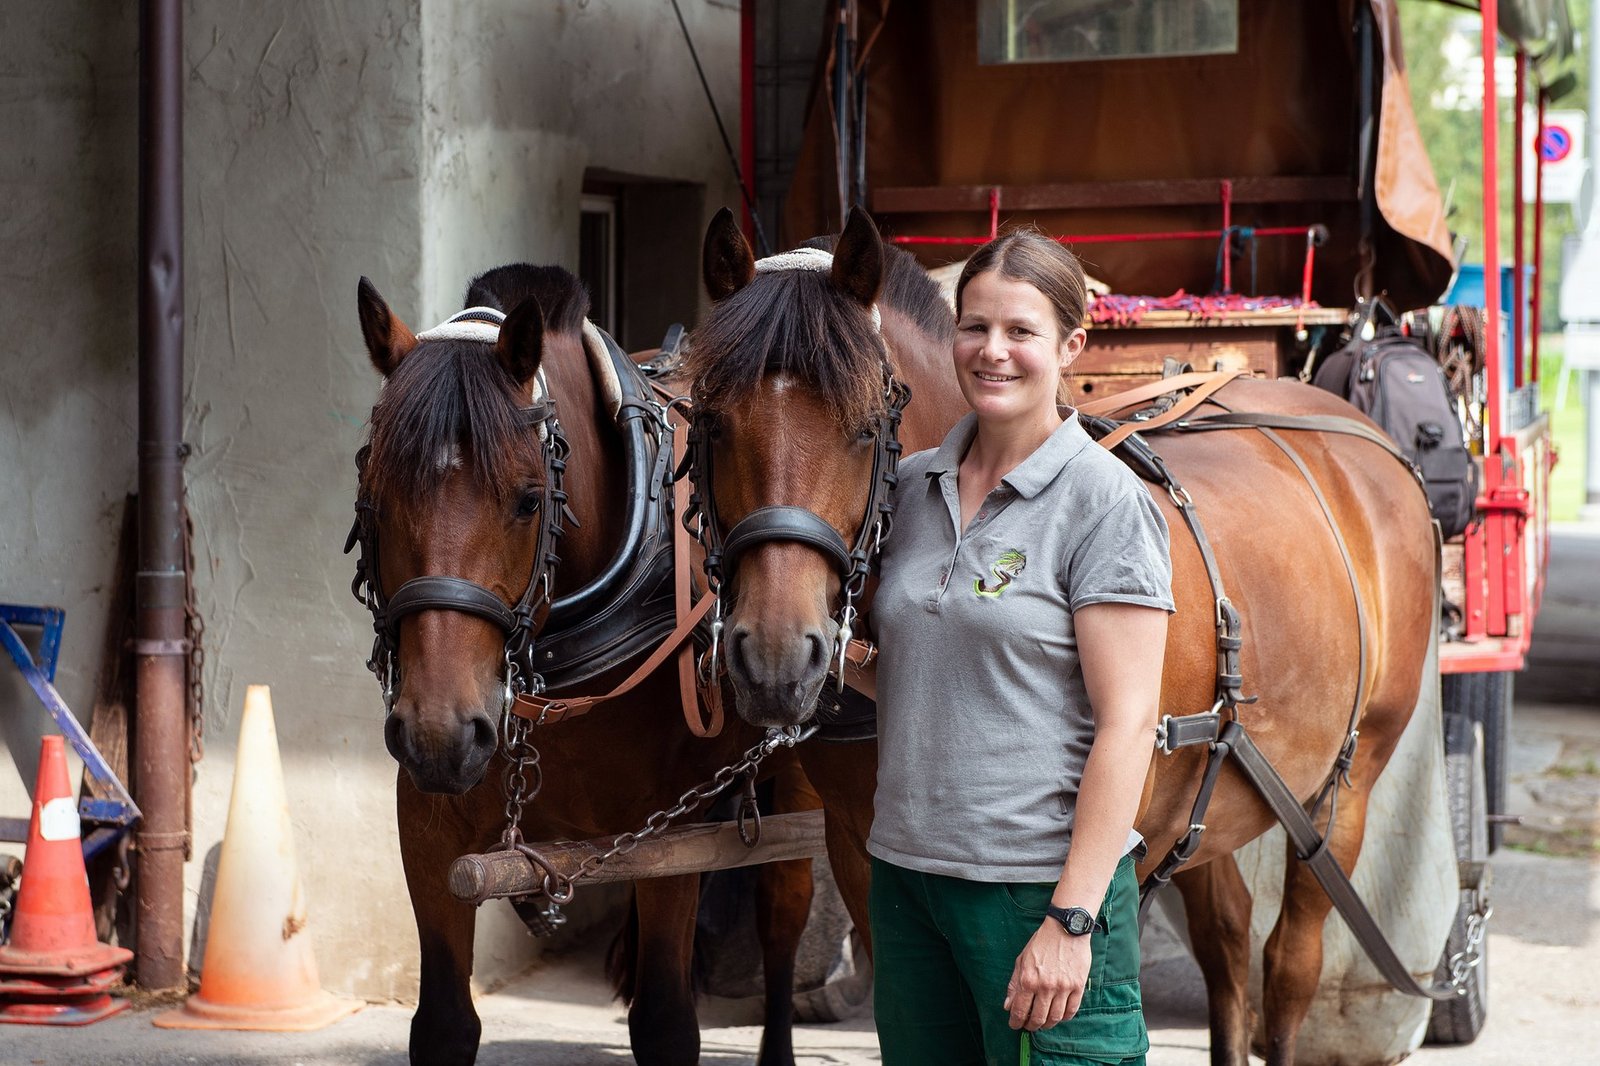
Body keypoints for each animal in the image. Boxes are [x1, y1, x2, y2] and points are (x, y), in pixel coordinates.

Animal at [351, 264, 820, 1066]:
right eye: (375, 499)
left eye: (528, 500)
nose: (440, 733)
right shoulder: (428, 823)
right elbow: (444, 1023)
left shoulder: (668, 837)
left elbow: (665, 1021)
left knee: (788, 899)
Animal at [683, 207, 1437, 1066]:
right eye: (710, 422)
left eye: (865, 428)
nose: (776, 657)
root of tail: (1357, 432)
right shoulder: (862, 855)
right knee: (1226, 939)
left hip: (1344, 788)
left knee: (1288, 967)